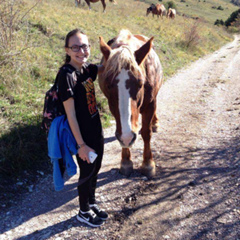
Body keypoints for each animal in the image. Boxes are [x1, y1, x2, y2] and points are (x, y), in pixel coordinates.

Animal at [98, 29, 164, 177]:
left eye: (140, 84)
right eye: (108, 85)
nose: (128, 137)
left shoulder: (150, 104)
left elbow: (146, 133)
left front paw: (148, 164)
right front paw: (126, 161)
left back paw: (155, 123)